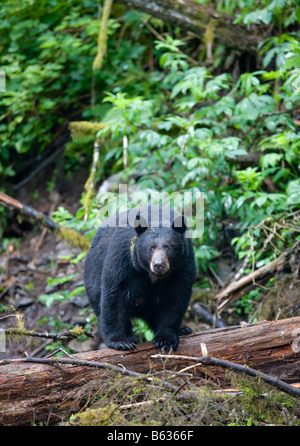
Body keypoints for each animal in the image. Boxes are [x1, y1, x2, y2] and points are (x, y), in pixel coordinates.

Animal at [85, 204, 197, 350]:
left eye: (169, 247)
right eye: (151, 247)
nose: (159, 265)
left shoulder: (182, 265)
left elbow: (174, 299)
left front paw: (165, 339)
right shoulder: (123, 258)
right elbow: (115, 295)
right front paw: (121, 341)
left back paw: (182, 329)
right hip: (93, 275)